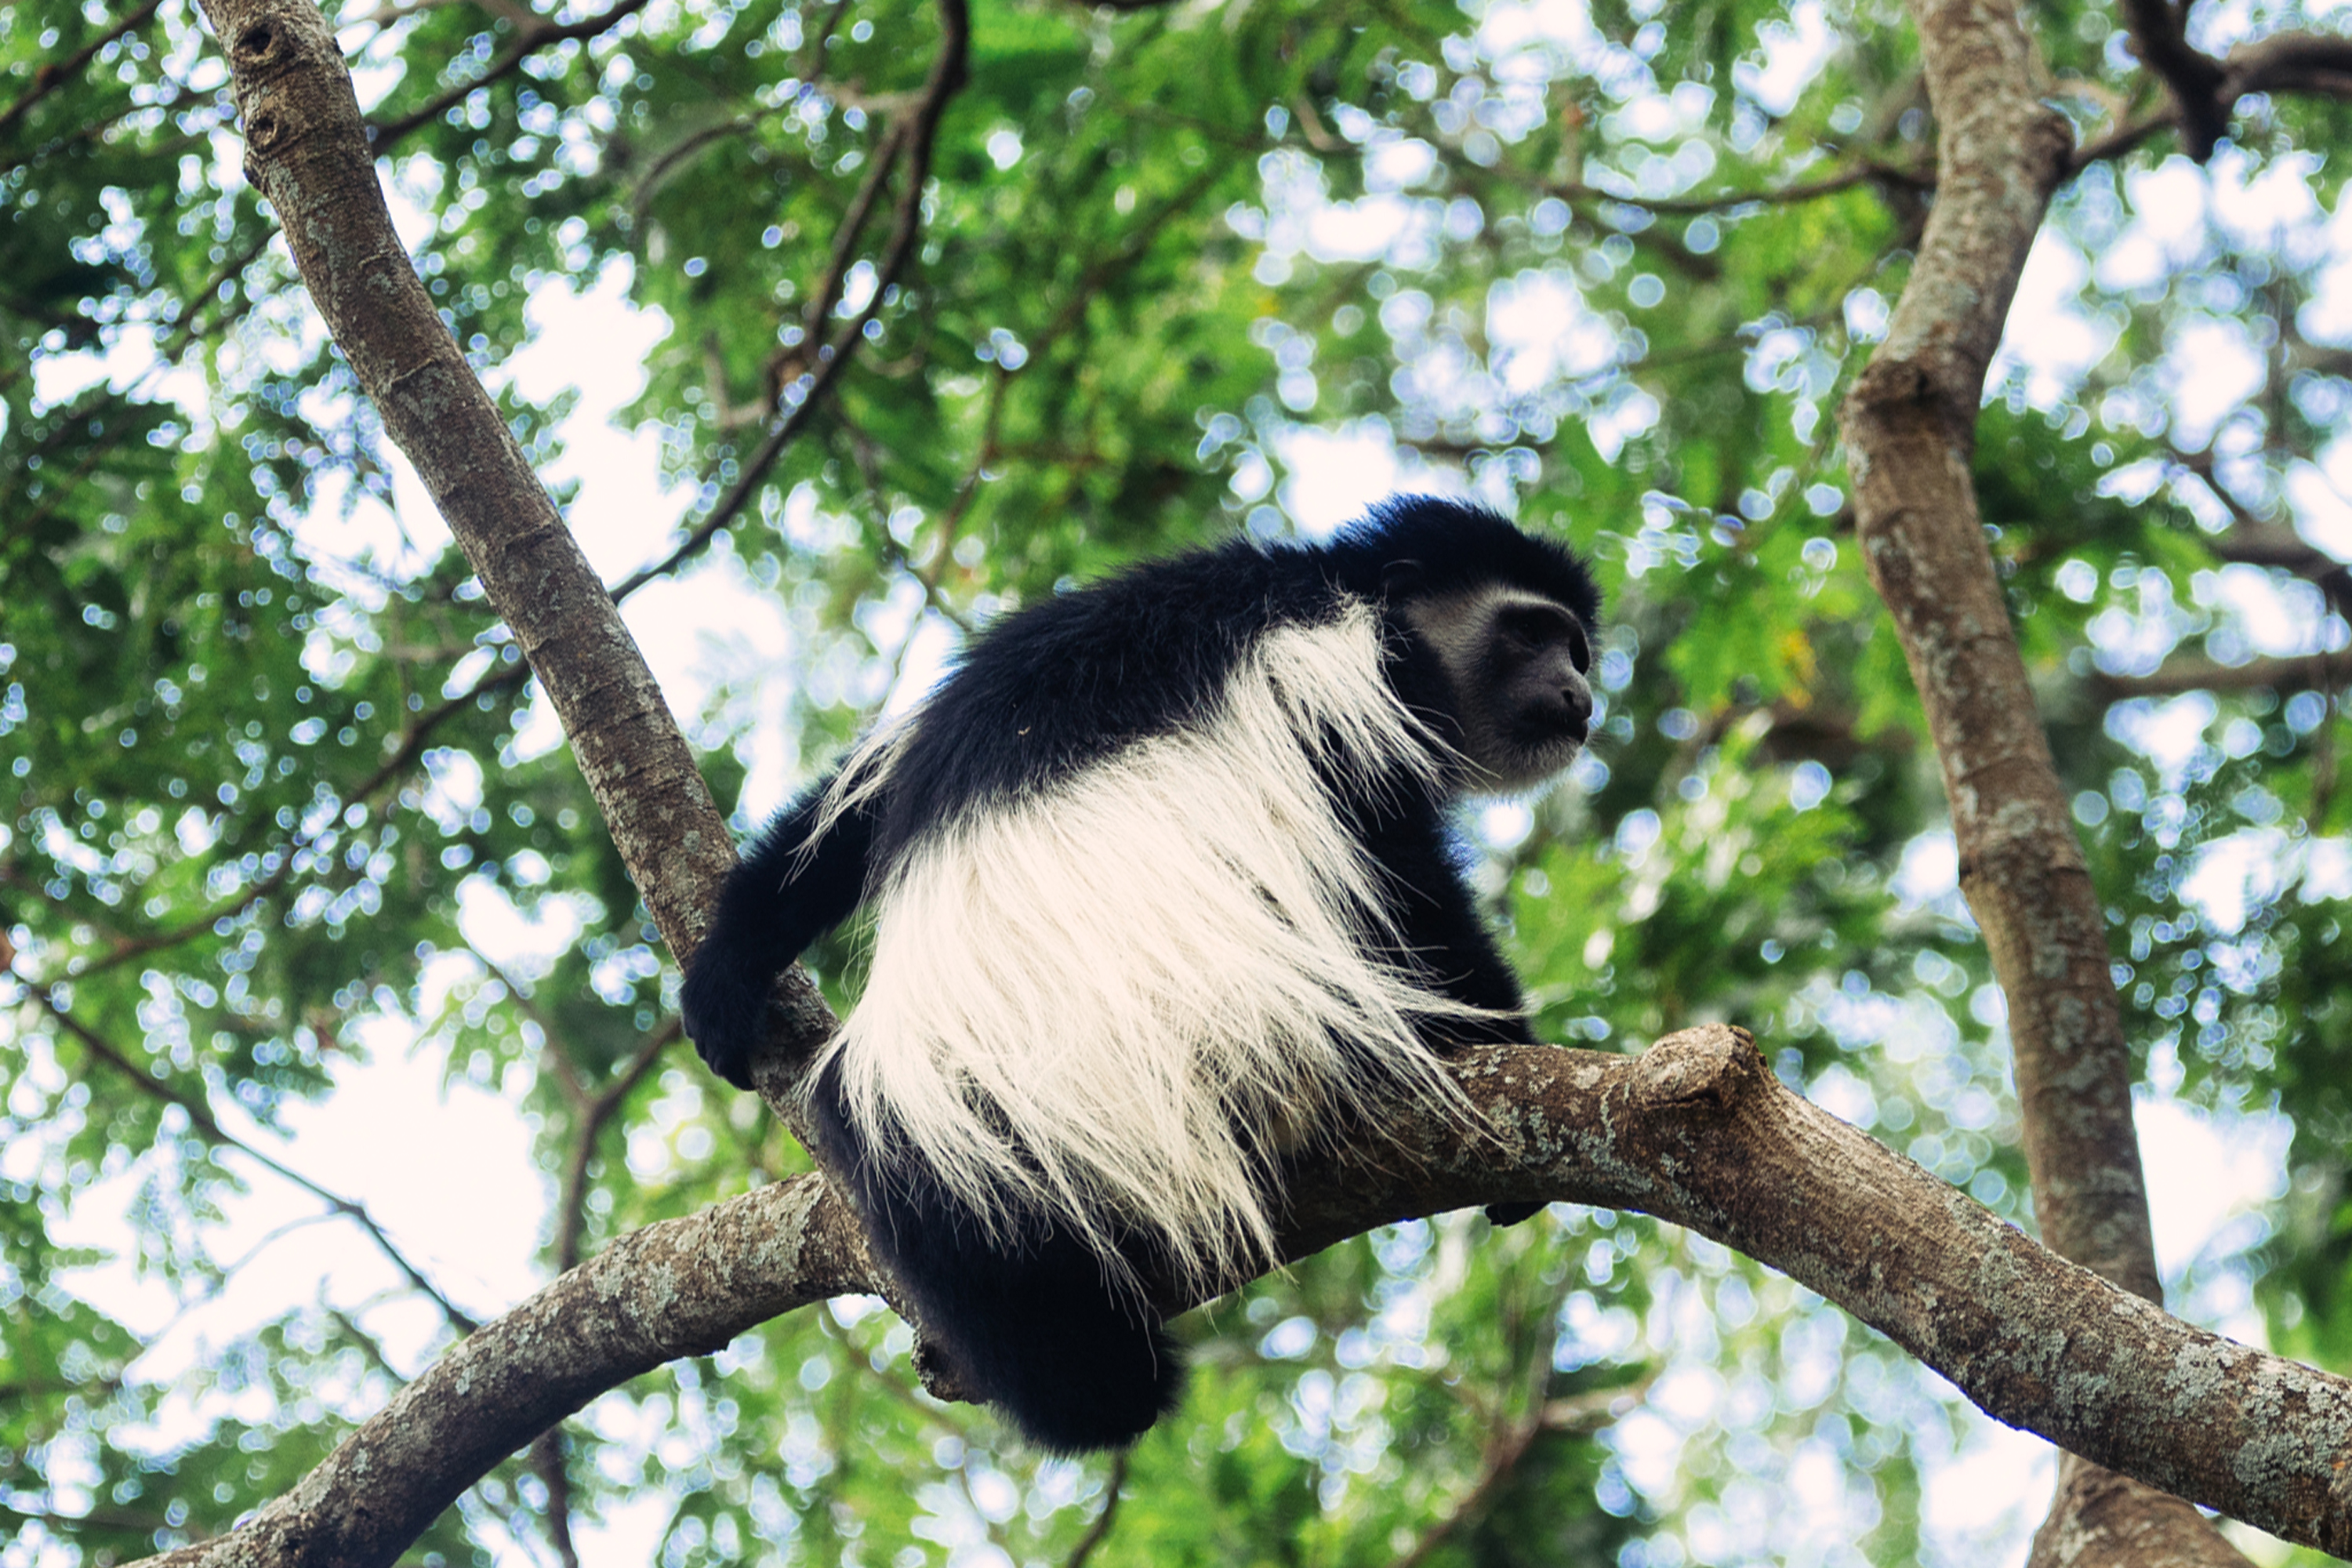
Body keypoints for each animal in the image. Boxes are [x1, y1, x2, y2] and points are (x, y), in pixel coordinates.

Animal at [681, 496, 1599, 1452]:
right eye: (1530, 632)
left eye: (1576, 649)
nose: (1580, 695)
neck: (1343, 586)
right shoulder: (1351, 677)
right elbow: (1395, 863)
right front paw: (1502, 1036)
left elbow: (846, 814)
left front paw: (724, 978)